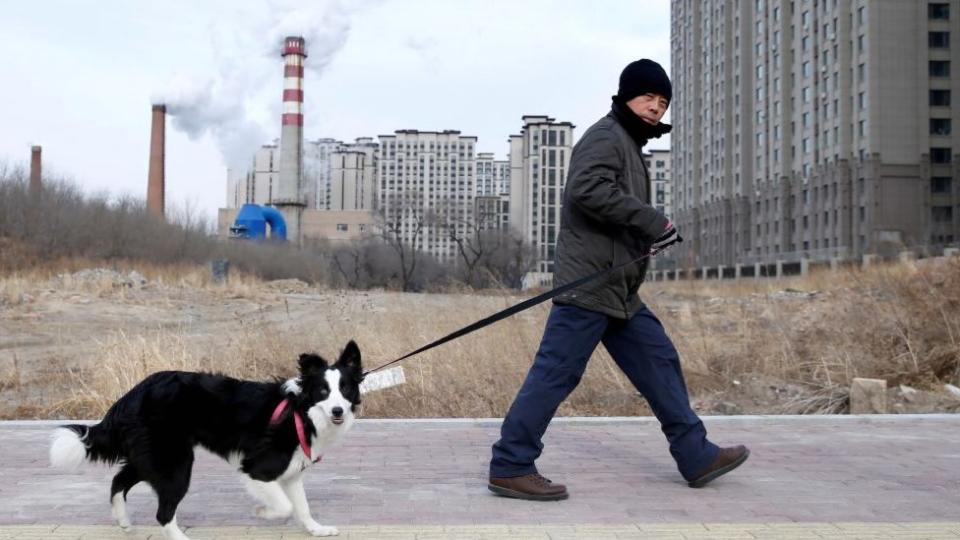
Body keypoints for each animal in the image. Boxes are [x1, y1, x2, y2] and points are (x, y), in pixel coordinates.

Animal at [49, 340, 364, 536]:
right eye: (323, 391)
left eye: (345, 389)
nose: (338, 410)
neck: (301, 411)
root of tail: (133, 393)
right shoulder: (257, 468)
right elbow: (285, 505)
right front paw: (263, 512)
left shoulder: (291, 471)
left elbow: (302, 506)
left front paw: (316, 529)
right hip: (176, 464)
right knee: (163, 513)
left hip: (153, 457)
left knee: (118, 481)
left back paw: (124, 521)